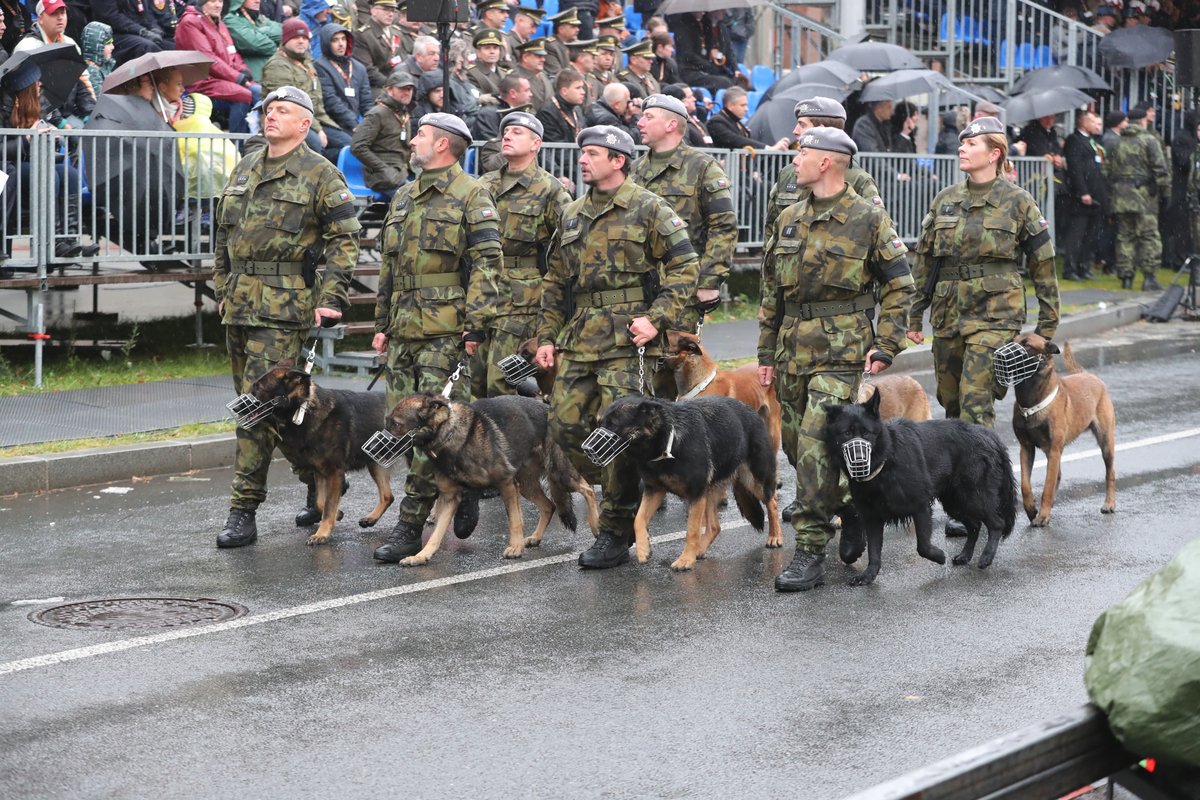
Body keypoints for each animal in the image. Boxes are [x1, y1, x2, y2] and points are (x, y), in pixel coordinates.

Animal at [252, 362, 393, 544]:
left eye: (258, 388)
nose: (239, 406)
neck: (303, 408)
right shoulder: (319, 472)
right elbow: (320, 503)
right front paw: (337, 514)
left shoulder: (334, 473)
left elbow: (328, 505)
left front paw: (322, 533)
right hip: (376, 463)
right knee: (388, 496)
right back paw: (371, 518)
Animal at [386, 393, 597, 563]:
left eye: (395, 424)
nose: (378, 447)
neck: (449, 433)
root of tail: (549, 410)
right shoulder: (450, 498)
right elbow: (436, 534)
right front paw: (421, 556)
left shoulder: (506, 484)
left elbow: (514, 520)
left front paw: (515, 547)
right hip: (526, 484)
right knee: (549, 506)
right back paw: (536, 537)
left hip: (560, 474)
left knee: (588, 489)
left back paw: (595, 525)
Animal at [595, 395, 782, 573]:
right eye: (601, 423)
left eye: (613, 424)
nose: (589, 450)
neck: (667, 439)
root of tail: (752, 412)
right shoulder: (655, 491)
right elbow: (638, 519)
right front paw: (643, 549)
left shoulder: (695, 494)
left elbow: (691, 531)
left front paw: (685, 560)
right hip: (709, 492)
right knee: (715, 527)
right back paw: (700, 550)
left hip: (756, 481)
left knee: (772, 503)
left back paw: (775, 537)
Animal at [830, 391, 1017, 585]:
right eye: (847, 433)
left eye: (866, 432)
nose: (858, 459)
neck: (886, 459)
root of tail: (989, 435)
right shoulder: (872, 517)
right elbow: (874, 553)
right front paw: (868, 575)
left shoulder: (920, 507)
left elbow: (923, 547)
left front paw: (939, 556)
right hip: (955, 503)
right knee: (974, 525)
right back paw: (965, 555)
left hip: (974, 498)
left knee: (997, 524)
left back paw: (986, 557)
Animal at [1012, 335, 1113, 527]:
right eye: (1011, 341)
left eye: (1027, 345)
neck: (1031, 403)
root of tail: (1088, 374)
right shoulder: (1026, 448)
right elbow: (1025, 484)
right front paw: (1031, 509)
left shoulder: (1054, 449)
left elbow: (1047, 486)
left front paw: (1043, 515)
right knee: (1057, 476)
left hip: (1105, 444)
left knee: (1110, 473)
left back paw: (1109, 504)